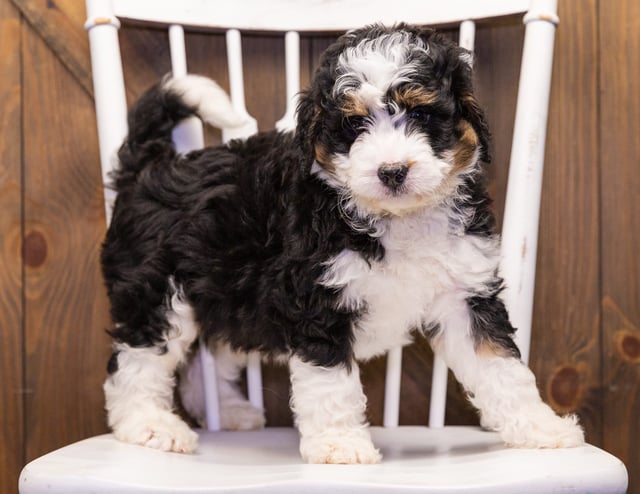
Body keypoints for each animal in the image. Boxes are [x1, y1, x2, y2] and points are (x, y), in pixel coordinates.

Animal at [101, 23, 584, 464]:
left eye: (421, 115)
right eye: (354, 124)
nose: (392, 171)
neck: (395, 218)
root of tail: (149, 165)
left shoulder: (465, 294)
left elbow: (501, 366)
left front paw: (542, 428)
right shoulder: (318, 300)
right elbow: (330, 381)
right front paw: (339, 445)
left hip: (229, 292)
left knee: (211, 353)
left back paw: (230, 413)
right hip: (158, 293)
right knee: (136, 362)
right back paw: (149, 425)